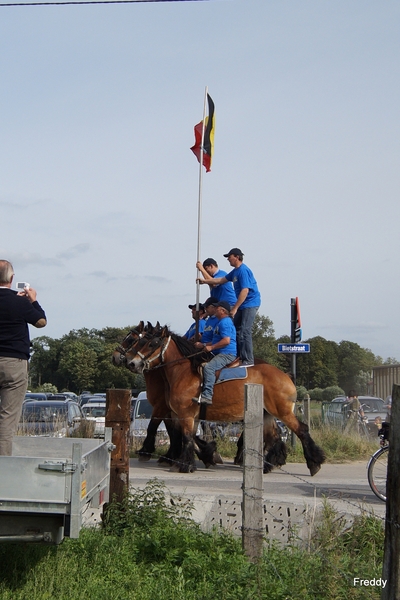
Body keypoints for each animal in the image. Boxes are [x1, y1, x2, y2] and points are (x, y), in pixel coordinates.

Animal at [126, 326, 326, 476]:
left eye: (151, 343)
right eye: (139, 341)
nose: (132, 363)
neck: (183, 372)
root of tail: (286, 376)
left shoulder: (183, 414)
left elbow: (185, 437)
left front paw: (184, 464)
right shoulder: (185, 416)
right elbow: (188, 437)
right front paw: (202, 456)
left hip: (282, 412)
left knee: (301, 430)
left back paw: (314, 463)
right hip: (267, 414)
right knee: (274, 438)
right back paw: (267, 465)